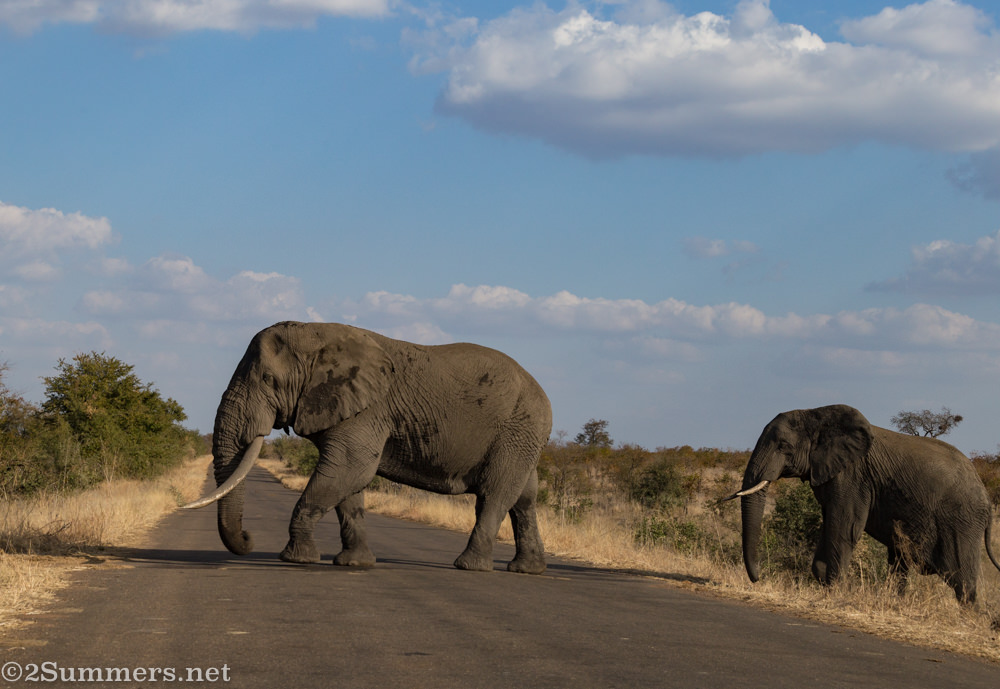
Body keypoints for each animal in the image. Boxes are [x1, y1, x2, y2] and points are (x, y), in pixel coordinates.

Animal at [182, 321, 552, 575]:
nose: (248, 538)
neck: (317, 334)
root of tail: (544, 395)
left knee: (494, 495)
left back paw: (468, 566)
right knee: (524, 499)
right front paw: (353, 564)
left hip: (516, 431)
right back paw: (526, 569)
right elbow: (348, 485)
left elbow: (349, 469)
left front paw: (295, 559)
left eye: (268, 381)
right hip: (523, 436)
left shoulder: (368, 410)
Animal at [725, 404, 1000, 603]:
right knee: (900, 560)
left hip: (962, 523)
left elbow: (844, 529)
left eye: (784, 446)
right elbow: (830, 523)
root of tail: (987, 500)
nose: (758, 578)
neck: (816, 414)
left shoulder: (854, 477)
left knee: (962, 581)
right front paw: (826, 585)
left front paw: (833, 592)